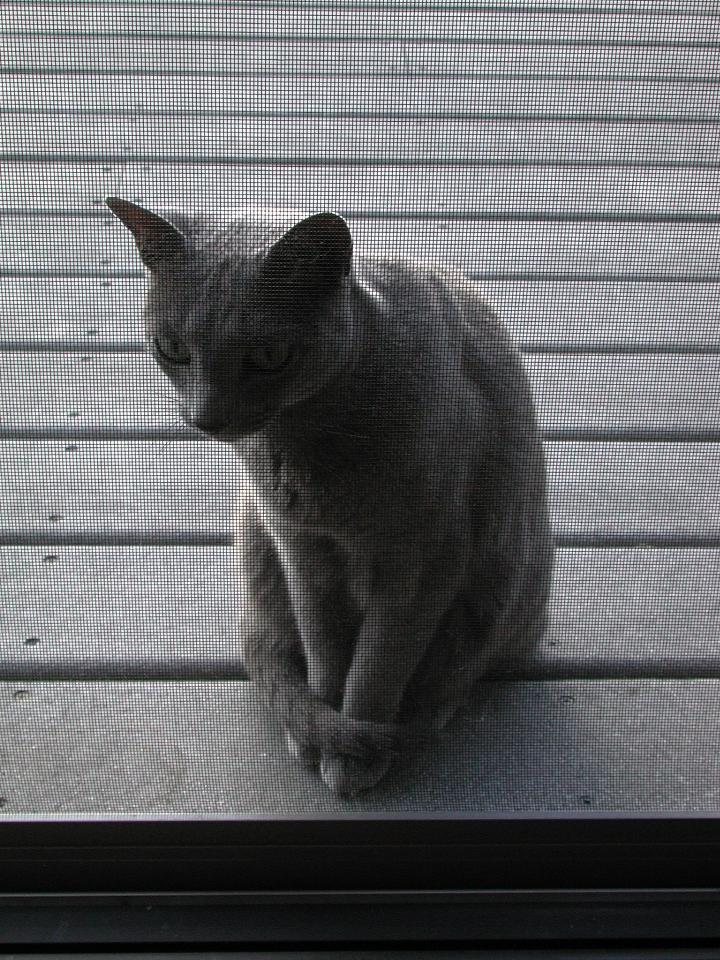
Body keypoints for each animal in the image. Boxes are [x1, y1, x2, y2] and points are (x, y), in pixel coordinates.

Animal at [108, 199, 556, 800]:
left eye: (270, 355)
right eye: (172, 348)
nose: (207, 417)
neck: (306, 447)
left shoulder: (423, 565)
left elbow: (375, 668)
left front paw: (354, 746)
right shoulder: (300, 548)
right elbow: (324, 648)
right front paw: (324, 728)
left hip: (494, 587)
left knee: (450, 674)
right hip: (257, 545)